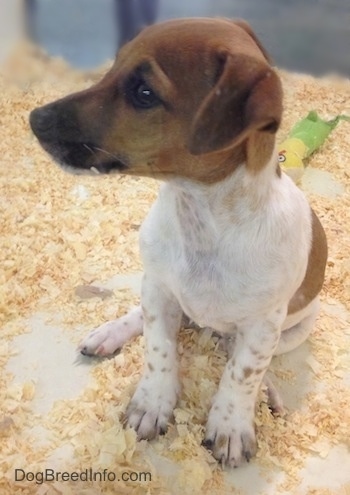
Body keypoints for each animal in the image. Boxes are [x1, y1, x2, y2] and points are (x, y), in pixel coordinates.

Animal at [30, 18, 328, 468]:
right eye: (113, 67)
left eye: (144, 93)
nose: (34, 118)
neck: (201, 219)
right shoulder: (158, 288)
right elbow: (159, 351)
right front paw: (153, 403)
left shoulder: (263, 326)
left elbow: (242, 373)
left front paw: (231, 423)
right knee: (145, 317)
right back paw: (110, 333)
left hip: (293, 328)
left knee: (248, 358)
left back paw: (267, 392)